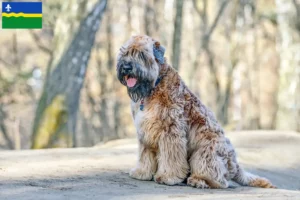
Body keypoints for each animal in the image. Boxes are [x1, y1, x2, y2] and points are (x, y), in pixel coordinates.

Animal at [116, 35, 276, 188]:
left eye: (142, 54)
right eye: (125, 53)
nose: (126, 67)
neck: (154, 86)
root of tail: (235, 164)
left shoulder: (170, 131)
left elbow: (171, 158)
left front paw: (168, 177)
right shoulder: (145, 131)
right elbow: (145, 155)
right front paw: (142, 172)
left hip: (205, 152)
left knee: (219, 179)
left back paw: (199, 180)